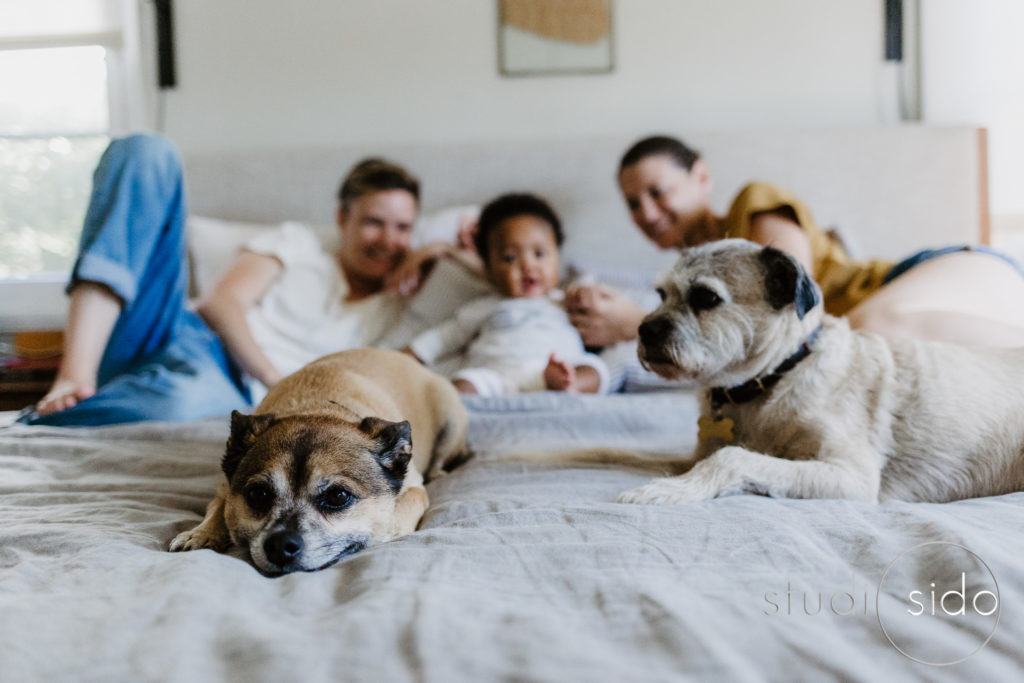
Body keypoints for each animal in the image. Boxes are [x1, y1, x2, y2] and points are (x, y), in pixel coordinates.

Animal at [171, 348, 468, 577]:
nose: (280, 545)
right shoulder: (225, 487)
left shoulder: (415, 491)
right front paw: (201, 534)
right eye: (258, 494)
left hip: (451, 420)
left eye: (338, 496)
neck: (316, 407)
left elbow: (396, 518)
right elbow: (218, 508)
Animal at [614, 237, 1024, 505]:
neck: (776, 375)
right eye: (660, 295)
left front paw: (666, 489)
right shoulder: (691, 456)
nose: (644, 330)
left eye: (705, 298)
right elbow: (627, 454)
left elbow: (732, 457)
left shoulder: (849, 474)